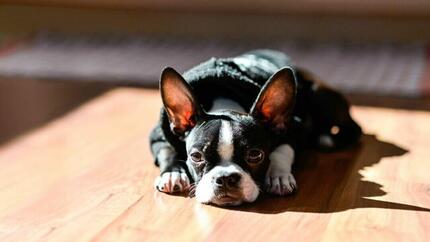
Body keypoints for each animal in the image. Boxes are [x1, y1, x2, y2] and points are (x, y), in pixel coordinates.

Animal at [149, 49, 362, 206]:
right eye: (196, 156)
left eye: (255, 155)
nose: (225, 178)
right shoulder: (159, 135)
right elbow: (167, 151)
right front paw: (172, 173)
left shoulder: (293, 130)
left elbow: (281, 151)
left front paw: (278, 176)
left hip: (318, 95)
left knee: (355, 128)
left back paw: (326, 139)